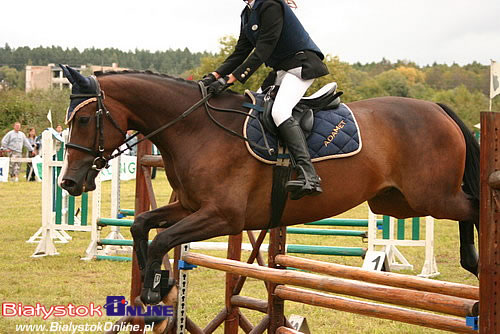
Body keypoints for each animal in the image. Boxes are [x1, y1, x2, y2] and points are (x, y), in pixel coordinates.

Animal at [58, 65, 480, 306]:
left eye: (83, 120)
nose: (69, 182)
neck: (196, 128)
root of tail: (437, 108)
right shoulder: (190, 208)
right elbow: (141, 224)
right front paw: (158, 282)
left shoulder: (223, 217)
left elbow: (163, 238)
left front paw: (152, 288)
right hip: (397, 202)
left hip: (432, 196)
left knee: (474, 207)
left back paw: (475, 264)